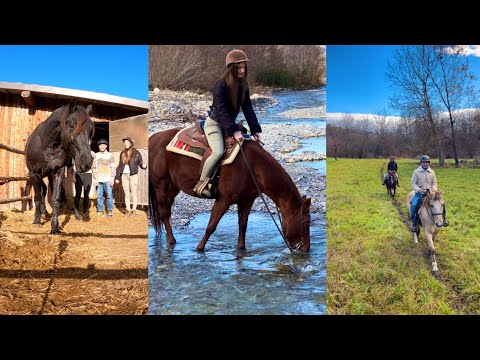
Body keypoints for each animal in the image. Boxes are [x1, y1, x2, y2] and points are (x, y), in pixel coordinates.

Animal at [24, 100, 94, 233]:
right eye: (72, 124)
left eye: (90, 130)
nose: (87, 163)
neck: (47, 144)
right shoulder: (34, 174)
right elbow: (37, 198)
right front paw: (37, 221)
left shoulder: (58, 172)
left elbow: (55, 199)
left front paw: (54, 227)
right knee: (42, 191)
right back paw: (43, 214)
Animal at [148, 128, 312, 252]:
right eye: (305, 222)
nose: (306, 249)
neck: (252, 167)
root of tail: (153, 138)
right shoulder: (223, 200)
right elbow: (211, 226)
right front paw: (199, 248)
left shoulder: (247, 200)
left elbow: (243, 225)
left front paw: (241, 249)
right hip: (161, 184)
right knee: (164, 212)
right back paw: (171, 241)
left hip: (173, 187)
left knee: (166, 211)